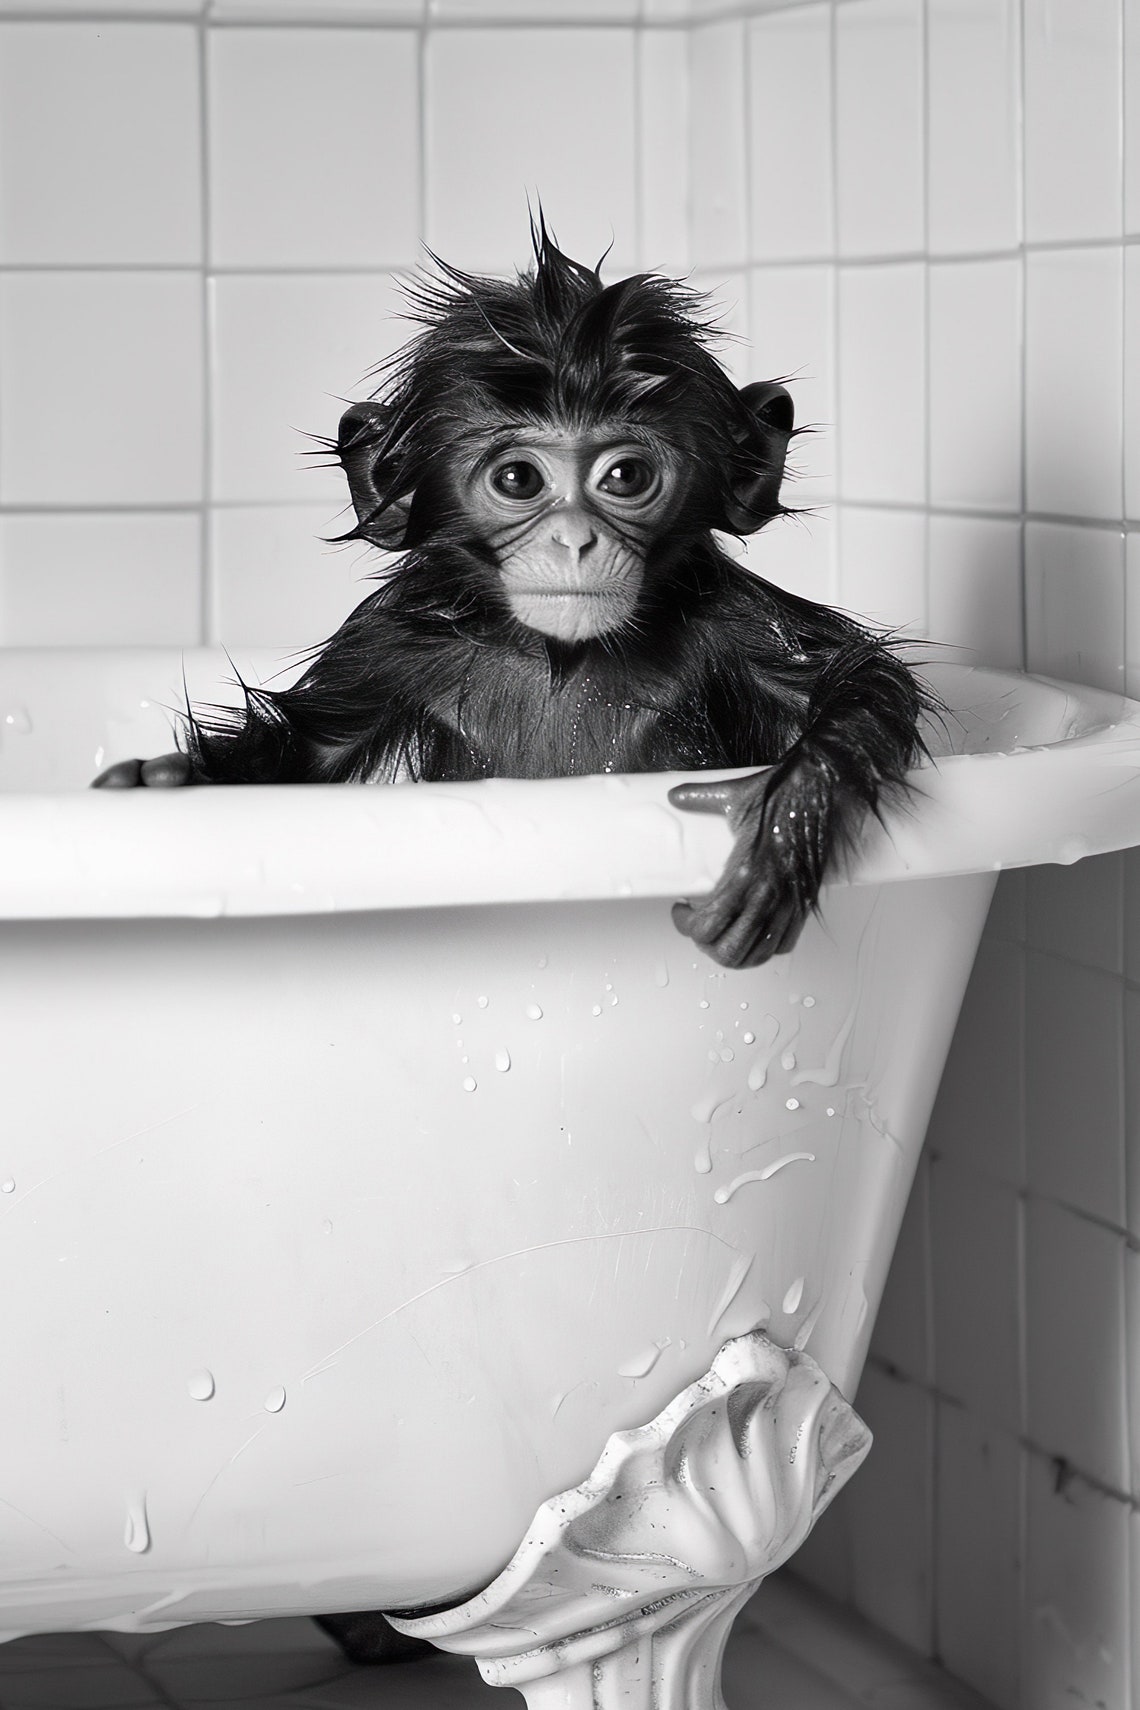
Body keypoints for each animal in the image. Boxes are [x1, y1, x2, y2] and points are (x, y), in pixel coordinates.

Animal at [93, 220, 927, 973]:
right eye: (519, 479)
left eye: (625, 476)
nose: (574, 540)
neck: (557, 653)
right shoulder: (388, 641)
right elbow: (311, 748)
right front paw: (173, 778)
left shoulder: (731, 615)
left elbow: (857, 679)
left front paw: (787, 812)